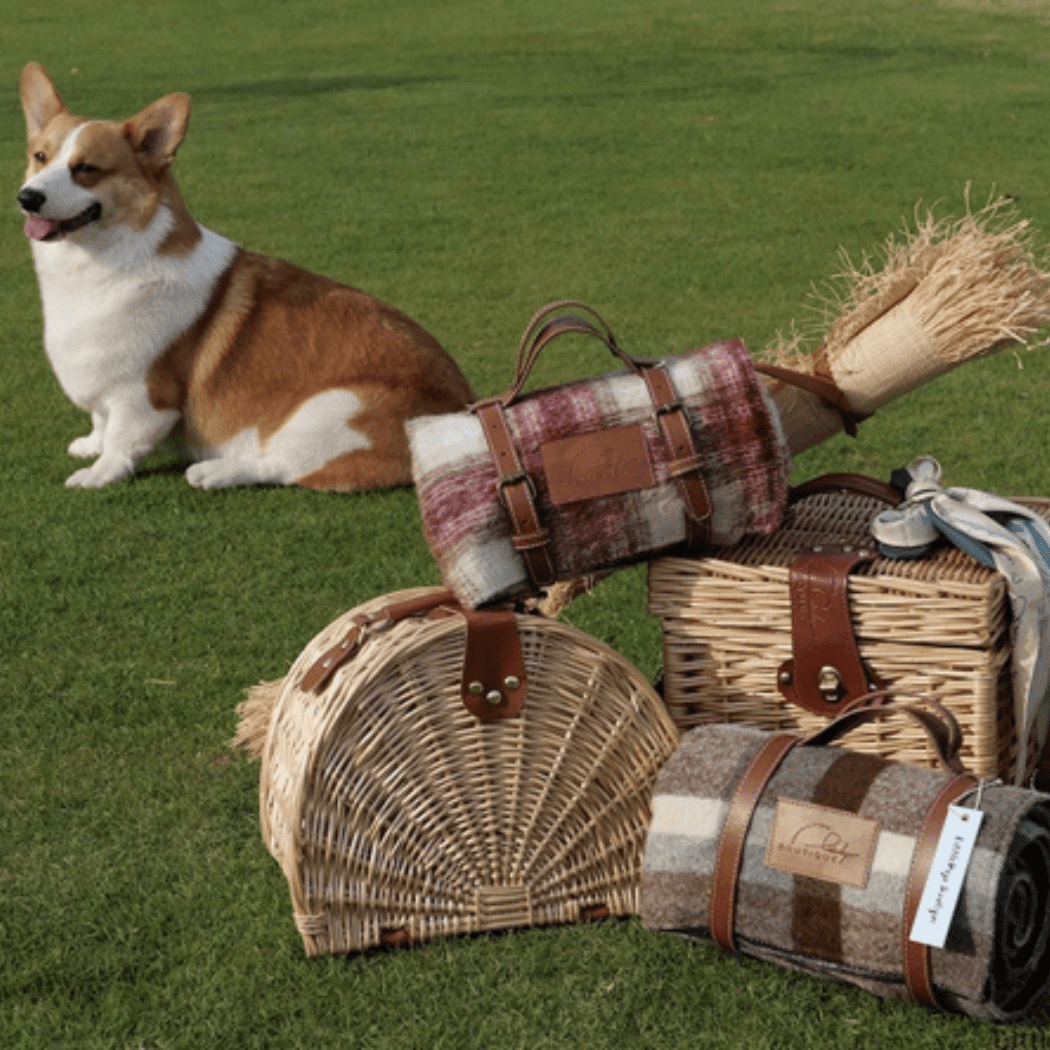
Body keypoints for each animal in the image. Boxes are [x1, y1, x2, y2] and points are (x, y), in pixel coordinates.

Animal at [16, 63, 474, 489]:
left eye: (86, 169)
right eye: (40, 157)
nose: (27, 197)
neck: (100, 262)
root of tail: (465, 417)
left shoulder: (141, 398)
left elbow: (120, 442)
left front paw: (98, 473)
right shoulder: (105, 390)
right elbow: (100, 421)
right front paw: (89, 445)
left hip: (335, 411)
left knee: (280, 465)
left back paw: (213, 472)